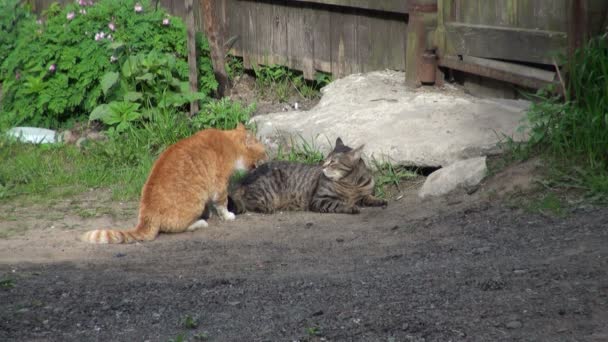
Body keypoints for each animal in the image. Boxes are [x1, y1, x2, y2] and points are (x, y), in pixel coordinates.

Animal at [81, 124, 266, 244]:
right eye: (263, 152)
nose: (268, 157)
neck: (230, 143)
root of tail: (147, 215)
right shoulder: (219, 185)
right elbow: (222, 203)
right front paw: (227, 215)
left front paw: (211, 212)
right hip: (194, 204)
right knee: (180, 227)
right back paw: (200, 222)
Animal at [228, 137, 384, 214]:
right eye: (326, 159)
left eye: (333, 162)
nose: (323, 165)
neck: (351, 183)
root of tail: (244, 179)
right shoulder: (320, 199)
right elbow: (339, 203)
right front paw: (351, 207)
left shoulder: (363, 194)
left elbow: (368, 197)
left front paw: (378, 200)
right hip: (266, 191)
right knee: (248, 201)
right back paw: (265, 208)